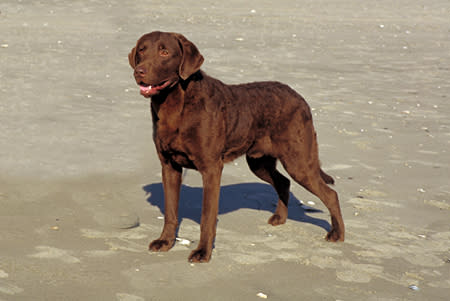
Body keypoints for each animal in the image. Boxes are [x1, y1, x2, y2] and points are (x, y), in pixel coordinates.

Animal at [128, 30, 346, 260]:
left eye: (164, 52)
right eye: (141, 50)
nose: (139, 71)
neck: (176, 106)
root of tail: (301, 98)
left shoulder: (211, 168)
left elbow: (207, 217)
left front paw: (203, 252)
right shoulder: (169, 166)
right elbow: (171, 212)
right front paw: (166, 242)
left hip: (299, 162)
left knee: (330, 194)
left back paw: (337, 234)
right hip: (259, 162)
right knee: (284, 182)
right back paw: (279, 218)